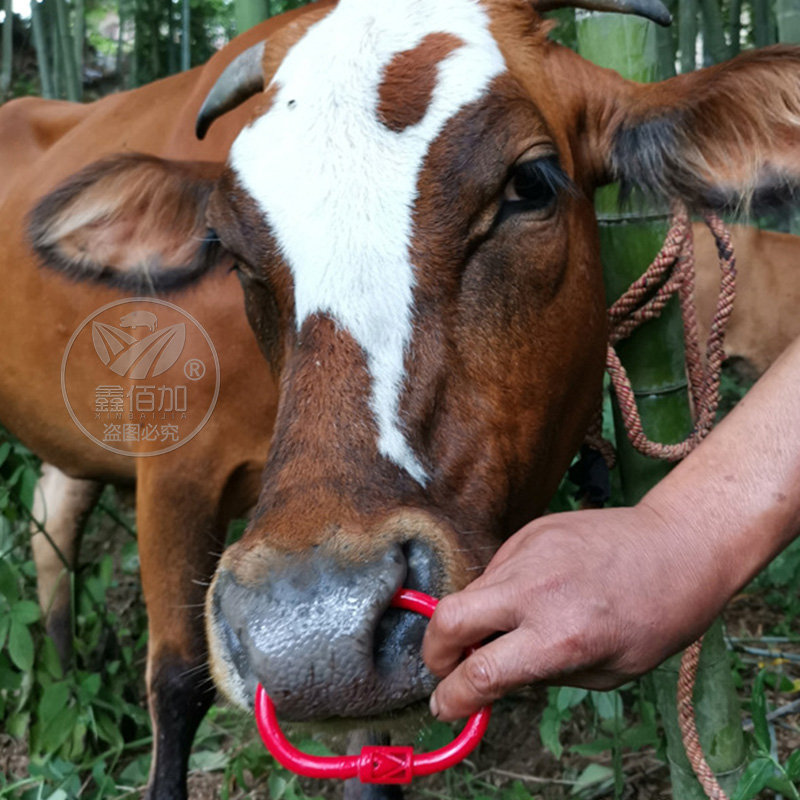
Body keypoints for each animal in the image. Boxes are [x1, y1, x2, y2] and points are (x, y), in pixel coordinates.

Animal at [4, 1, 800, 800]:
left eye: (531, 182)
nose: (309, 629)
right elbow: (176, 681)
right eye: (226, 247)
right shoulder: (173, 470)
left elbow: (371, 748)